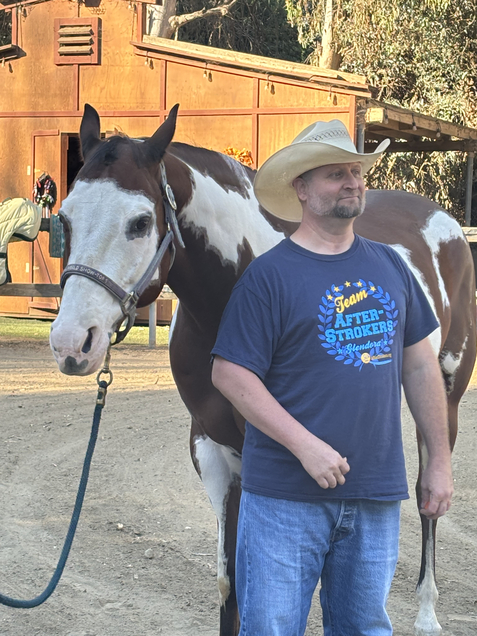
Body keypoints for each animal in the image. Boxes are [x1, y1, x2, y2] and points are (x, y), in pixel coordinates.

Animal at [49, 104, 476, 636]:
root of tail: (442, 221)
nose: (71, 343)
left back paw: (426, 612)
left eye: (140, 222)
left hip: (445, 395)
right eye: (64, 218)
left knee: (426, 495)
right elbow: (232, 585)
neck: (230, 298)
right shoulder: (214, 451)